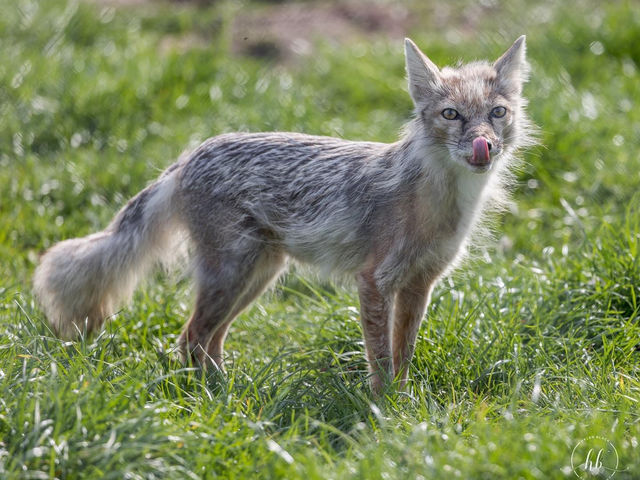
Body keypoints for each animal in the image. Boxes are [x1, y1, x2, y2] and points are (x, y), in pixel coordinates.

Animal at [33, 36, 536, 394]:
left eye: (497, 113)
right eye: (451, 115)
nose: (484, 146)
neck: (440, 207)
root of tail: (188, 156)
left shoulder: (419, 284)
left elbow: (404, 353)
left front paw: (406, 401)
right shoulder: (375, 281)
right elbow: (380, 357)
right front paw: (383, 407)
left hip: (258, 276)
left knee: (209, 342)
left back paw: (226, 389)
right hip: (232, 275)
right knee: (190, 339)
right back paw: (214, 398)